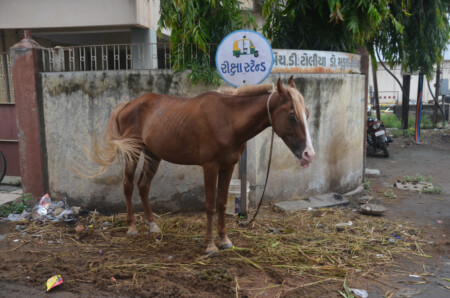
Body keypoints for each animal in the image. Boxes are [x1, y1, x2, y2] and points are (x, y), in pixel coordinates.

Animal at [89, 76, 314, 254]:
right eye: (292, 116)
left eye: (307, 114)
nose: (308, 155)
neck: (228, 119)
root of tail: (128, 104)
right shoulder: (210, 167)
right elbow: (209, 205)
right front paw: (210, 245)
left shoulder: (228, 166)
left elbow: (221, 203)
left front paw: (224, 240)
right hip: (133, 153)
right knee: (128, 185)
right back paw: (132, 227)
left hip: (153, 155)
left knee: (143, 185)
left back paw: (152, 225)